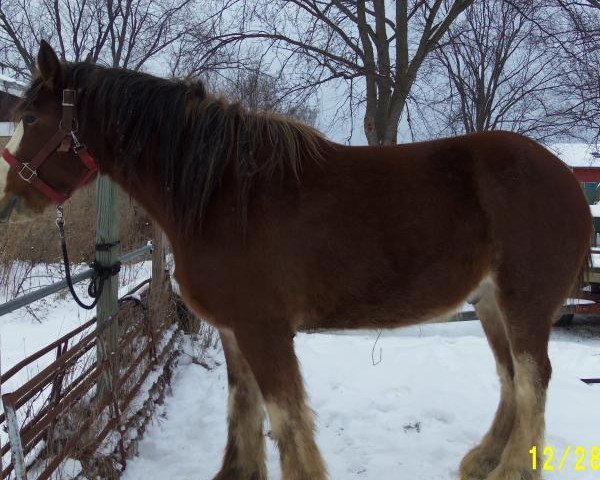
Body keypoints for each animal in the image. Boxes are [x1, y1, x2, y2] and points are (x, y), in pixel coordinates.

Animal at [0, 41, 592, 480]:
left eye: (29, 115)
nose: (8, 201)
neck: (222, 194)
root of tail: (567, 178)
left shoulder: (264, 329)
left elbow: (285, 418)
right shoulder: (234, 329)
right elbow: (243, 408)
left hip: (524, 303)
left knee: (533, 378)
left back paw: (513, 469)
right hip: (490, 303)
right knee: (510, 376)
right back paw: (485, 459)